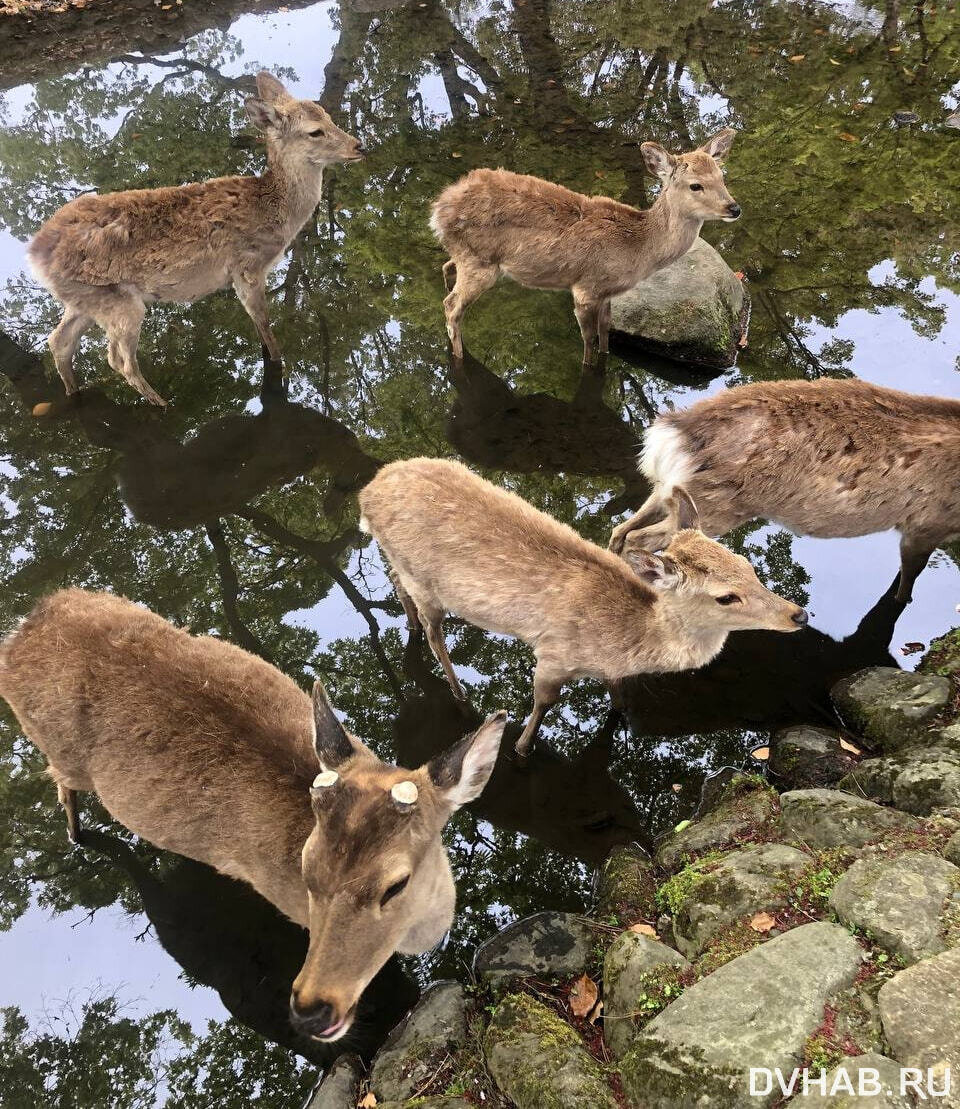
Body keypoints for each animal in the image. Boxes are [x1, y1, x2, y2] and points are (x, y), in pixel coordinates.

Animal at [0, 594, 509, 1042]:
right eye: (306, 870)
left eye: (395, 884)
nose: (310, 1009)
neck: (421, 936)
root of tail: (22, 629)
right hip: (59, 754)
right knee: (60, 782)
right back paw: (75, 833)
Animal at [27, 71, 363, 408]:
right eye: (315, 131)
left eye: (329, 116)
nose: (359, 146)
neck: (277, 214)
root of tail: (35, 255)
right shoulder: (247, 266)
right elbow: (264, 323)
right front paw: (279, 365)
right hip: (120, 303)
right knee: (118, 360)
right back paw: (162, 404)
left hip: (83, 300)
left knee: (59, 341)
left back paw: (74, 392)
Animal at [354, 454, 802, 758]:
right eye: (725, 595)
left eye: (748, 566)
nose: (798, 613)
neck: (624, 642)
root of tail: (366, 493)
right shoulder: (554, 654)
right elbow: (543, 702)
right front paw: (521, 749)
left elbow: (617, 696)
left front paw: (620, 713)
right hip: (427, 584)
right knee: (434, 633)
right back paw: (459, 693)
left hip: (401, 561)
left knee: (397, 583)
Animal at [432, 129, 740, 363]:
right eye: (695, 185)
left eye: (722, 177)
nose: (734, 208)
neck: (639, 248)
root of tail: (438, 208)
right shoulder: (585, 288)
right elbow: (589, 340)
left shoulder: (607, 292)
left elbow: (605, 331)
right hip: (481, 263)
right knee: (452, 305)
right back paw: (458, 356)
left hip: (467, 255)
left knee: (447, 269)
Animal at [607, 379, 957, 607]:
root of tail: (673, 434)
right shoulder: (928, 523)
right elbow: (909, 575)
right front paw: (903, 601)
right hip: (713, 507)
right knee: (640, 538)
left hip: (669, 489)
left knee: (622, 529)